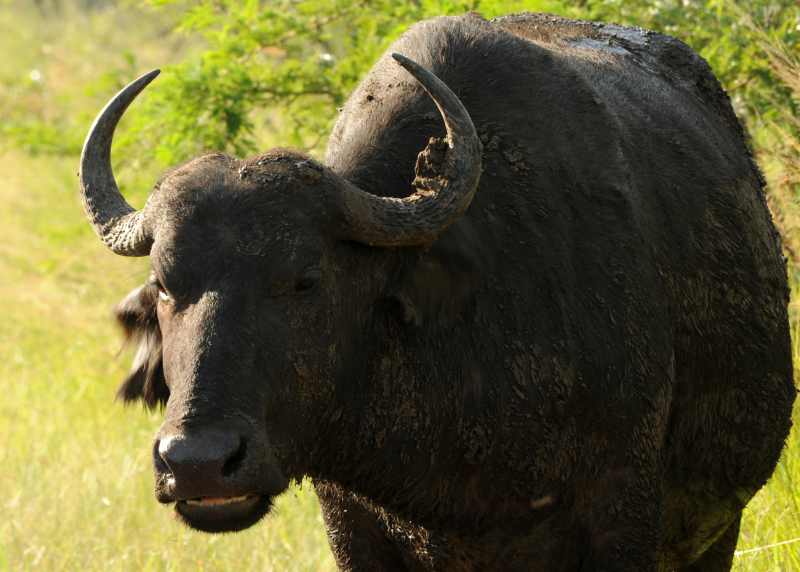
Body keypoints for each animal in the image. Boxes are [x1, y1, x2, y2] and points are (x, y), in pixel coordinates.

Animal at [79, 11, 792, 568]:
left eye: (306, 279)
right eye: (164, 285)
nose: (198, 462)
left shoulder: (623, 508)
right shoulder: (352, 524)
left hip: (717, 531)